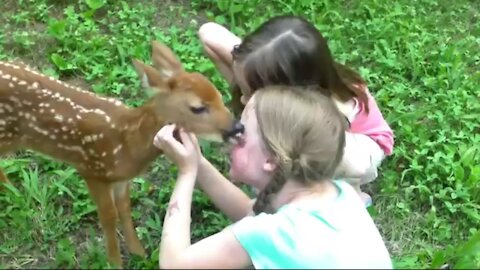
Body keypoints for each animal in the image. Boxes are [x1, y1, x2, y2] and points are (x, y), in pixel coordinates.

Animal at [0, 40, 244, 268]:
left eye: (219, 94)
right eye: (197, 107)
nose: (237, 128)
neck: (126, 142)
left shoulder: (120, 178)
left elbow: (125, 209)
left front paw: (138, 251)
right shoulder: (91, 169)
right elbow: (108, 215)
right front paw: (114, 261)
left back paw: (12, 191)